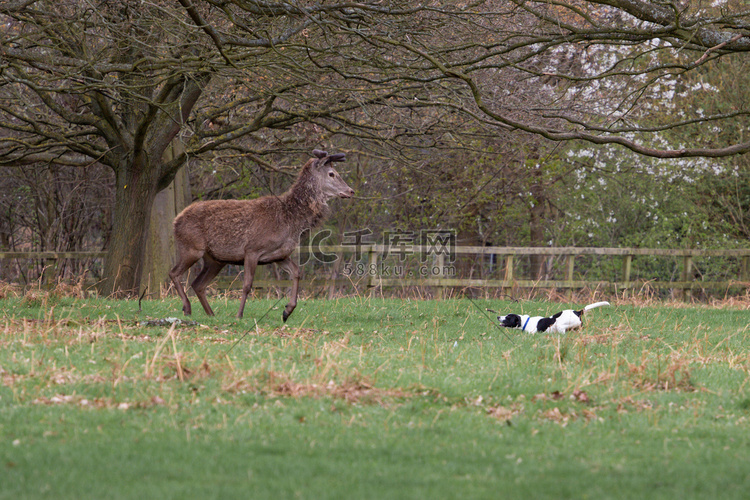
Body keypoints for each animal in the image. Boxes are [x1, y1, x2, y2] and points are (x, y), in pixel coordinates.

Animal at [170, 149, 356, 320]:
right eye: (332, 173)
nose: (351, 191)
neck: (291, 222)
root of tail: (175, 221)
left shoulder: (279, 255)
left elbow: (297, 272)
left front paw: (287, 311)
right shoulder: (252, 249)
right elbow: (247, 284)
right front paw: (239, 315)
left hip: (215, 260)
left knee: (198, 284)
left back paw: (210, 314)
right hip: (192, 247)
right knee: (174, 273)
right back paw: (187, 307)